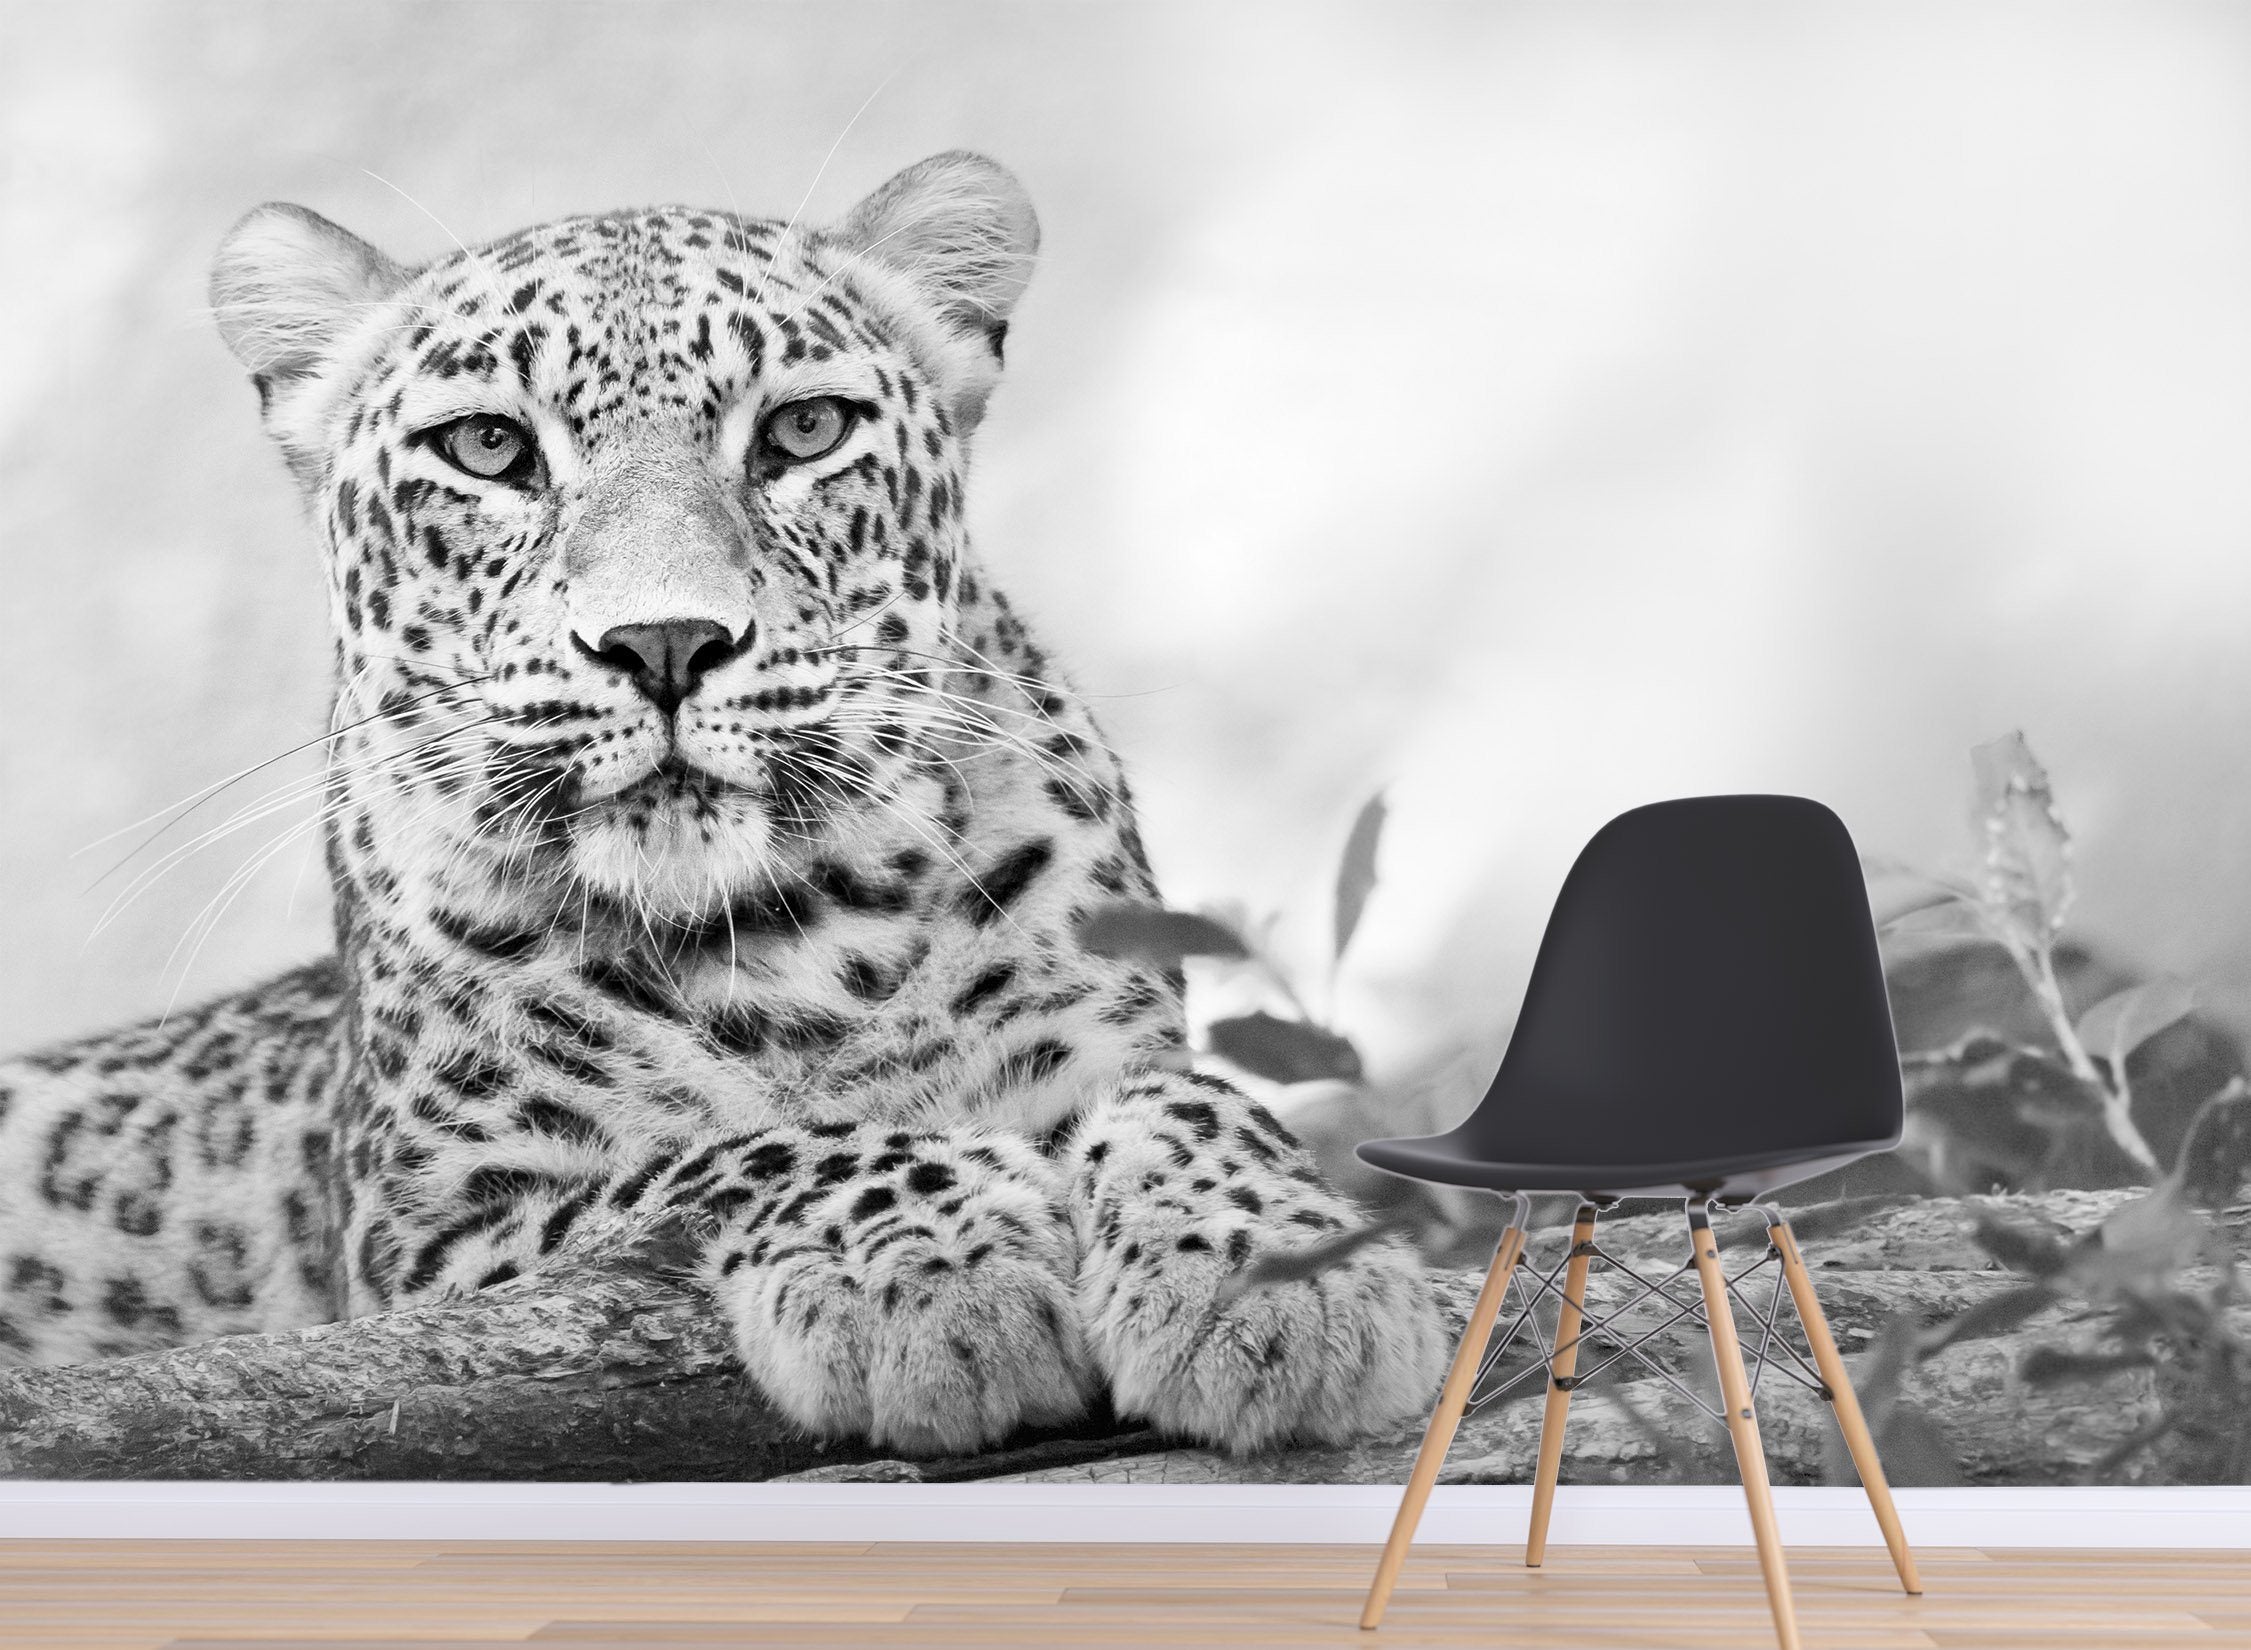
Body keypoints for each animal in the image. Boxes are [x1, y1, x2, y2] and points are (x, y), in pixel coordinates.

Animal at [0, 152, 1446, 1458]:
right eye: (488, 447)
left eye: (803, 431)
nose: (664, 642)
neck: (796, 941)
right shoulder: (426, 1245)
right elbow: (730, 1158)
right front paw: (931, 1271)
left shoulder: (1109, 1034)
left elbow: (1195, 1099)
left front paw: (1278, 1273)